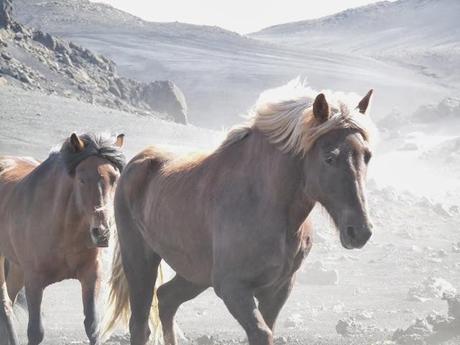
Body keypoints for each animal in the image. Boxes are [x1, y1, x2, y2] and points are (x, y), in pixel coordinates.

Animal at [0, 132, 125, 344]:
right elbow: (36, 332)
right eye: (81, 179)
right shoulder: (34, 281)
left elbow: (92, 326)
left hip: (16, 267)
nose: (102, 232)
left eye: (115, 178)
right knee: (5, 303)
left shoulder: (91, 275)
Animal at [106, 81, 376, 344]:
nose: (360, 231)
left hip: (194, 275)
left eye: (367, 156)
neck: (265, 203)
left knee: (166, 299)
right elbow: (261, 334)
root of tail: (136, 162)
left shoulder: (278, 289)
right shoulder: (233, 288)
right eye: (329, 157)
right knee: (140, 324)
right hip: (140, 262)